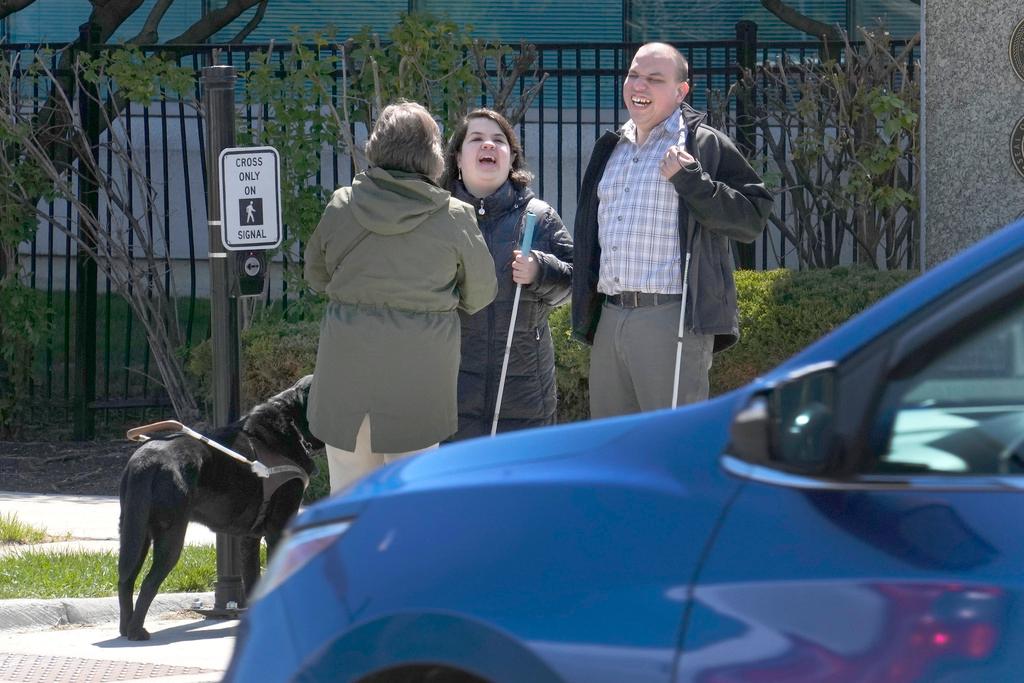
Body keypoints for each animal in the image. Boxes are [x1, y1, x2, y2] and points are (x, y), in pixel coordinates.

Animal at [117, 374, 321, 643]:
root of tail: (145, 461)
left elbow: (253, 581)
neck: (293, 424)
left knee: (126, 577)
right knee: (149, 582)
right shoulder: (278, 528)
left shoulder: (249, 538)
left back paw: (125, 628)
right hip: (170, 533)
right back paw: (136, 631)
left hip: (135, 530)